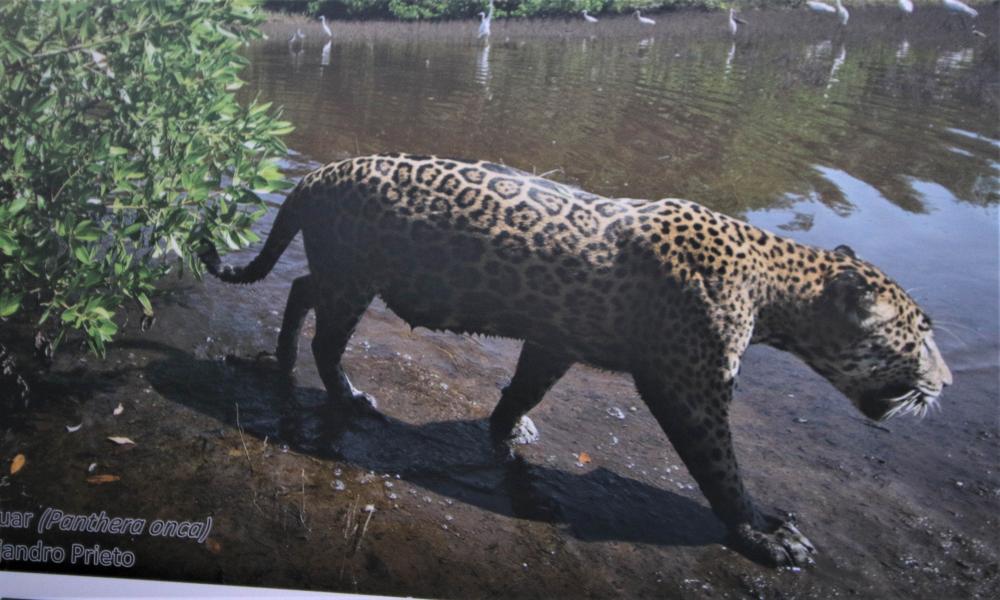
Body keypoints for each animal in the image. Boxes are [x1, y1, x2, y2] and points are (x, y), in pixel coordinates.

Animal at [199, 153, 952, 567]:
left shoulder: (555, 340)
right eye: (920, 334)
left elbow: (524, 389)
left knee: (298, 291)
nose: (944, 384)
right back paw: (346, 393)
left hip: (340, 272)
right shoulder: (691, 387)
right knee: (326, 336)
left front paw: (509, 431)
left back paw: (281, 361)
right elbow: (721, 468)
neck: (775, 289)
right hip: (355, 276)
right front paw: (762, 532)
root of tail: (317, 176)